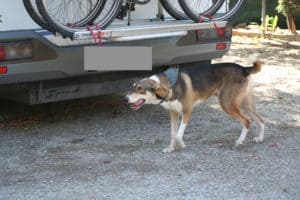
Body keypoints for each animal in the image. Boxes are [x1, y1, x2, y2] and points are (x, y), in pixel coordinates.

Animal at [124, 59, 264, 153]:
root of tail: (243, 68)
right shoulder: (173, 113)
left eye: (140, 89)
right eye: (133, 87)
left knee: (246, 121)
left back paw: (239, 141)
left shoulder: (187, 112)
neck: (170, 85)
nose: (125, 99)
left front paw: (182, 146)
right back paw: (259, 138)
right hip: (245, 103)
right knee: (261, 120)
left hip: (227, 104)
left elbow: (178, 135)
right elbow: (173, 133)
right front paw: (171, 148)